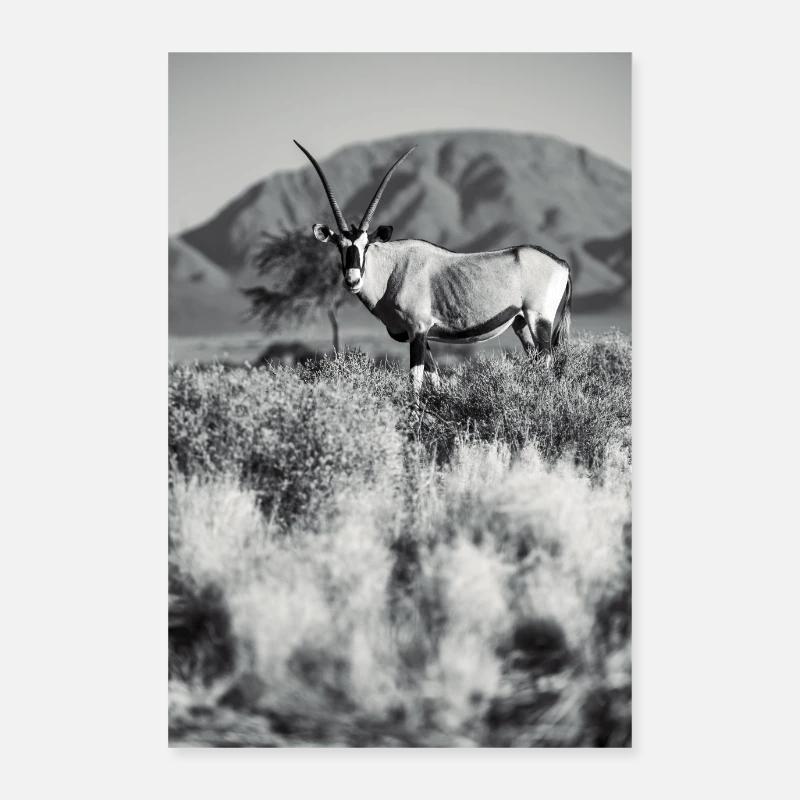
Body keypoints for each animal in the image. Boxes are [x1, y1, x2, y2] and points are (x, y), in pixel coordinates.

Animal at [294, 140, 572, 395]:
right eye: (339, 246)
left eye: (367, 245)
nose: (352, 280)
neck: (392, 271)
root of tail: (561, 263)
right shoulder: (423, 335)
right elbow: (435, 378)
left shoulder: (417, 330)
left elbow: (415, 381)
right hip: (521, 322)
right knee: (535, 361)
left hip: (539, 318)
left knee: (547, 362)